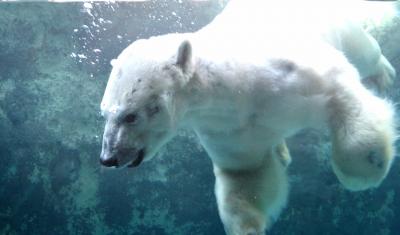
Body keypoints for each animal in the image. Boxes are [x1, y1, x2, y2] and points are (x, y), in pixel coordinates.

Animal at [99, 0, 396, 234]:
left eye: (130, 116)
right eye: (104, 113)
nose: (108, 158)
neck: (236, 86)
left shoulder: (293, 75)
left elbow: (339, 91)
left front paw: (366, 170)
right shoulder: (228, 129)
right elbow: (247, 173)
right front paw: (249, 226)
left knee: (364, 50)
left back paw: (383, 73)